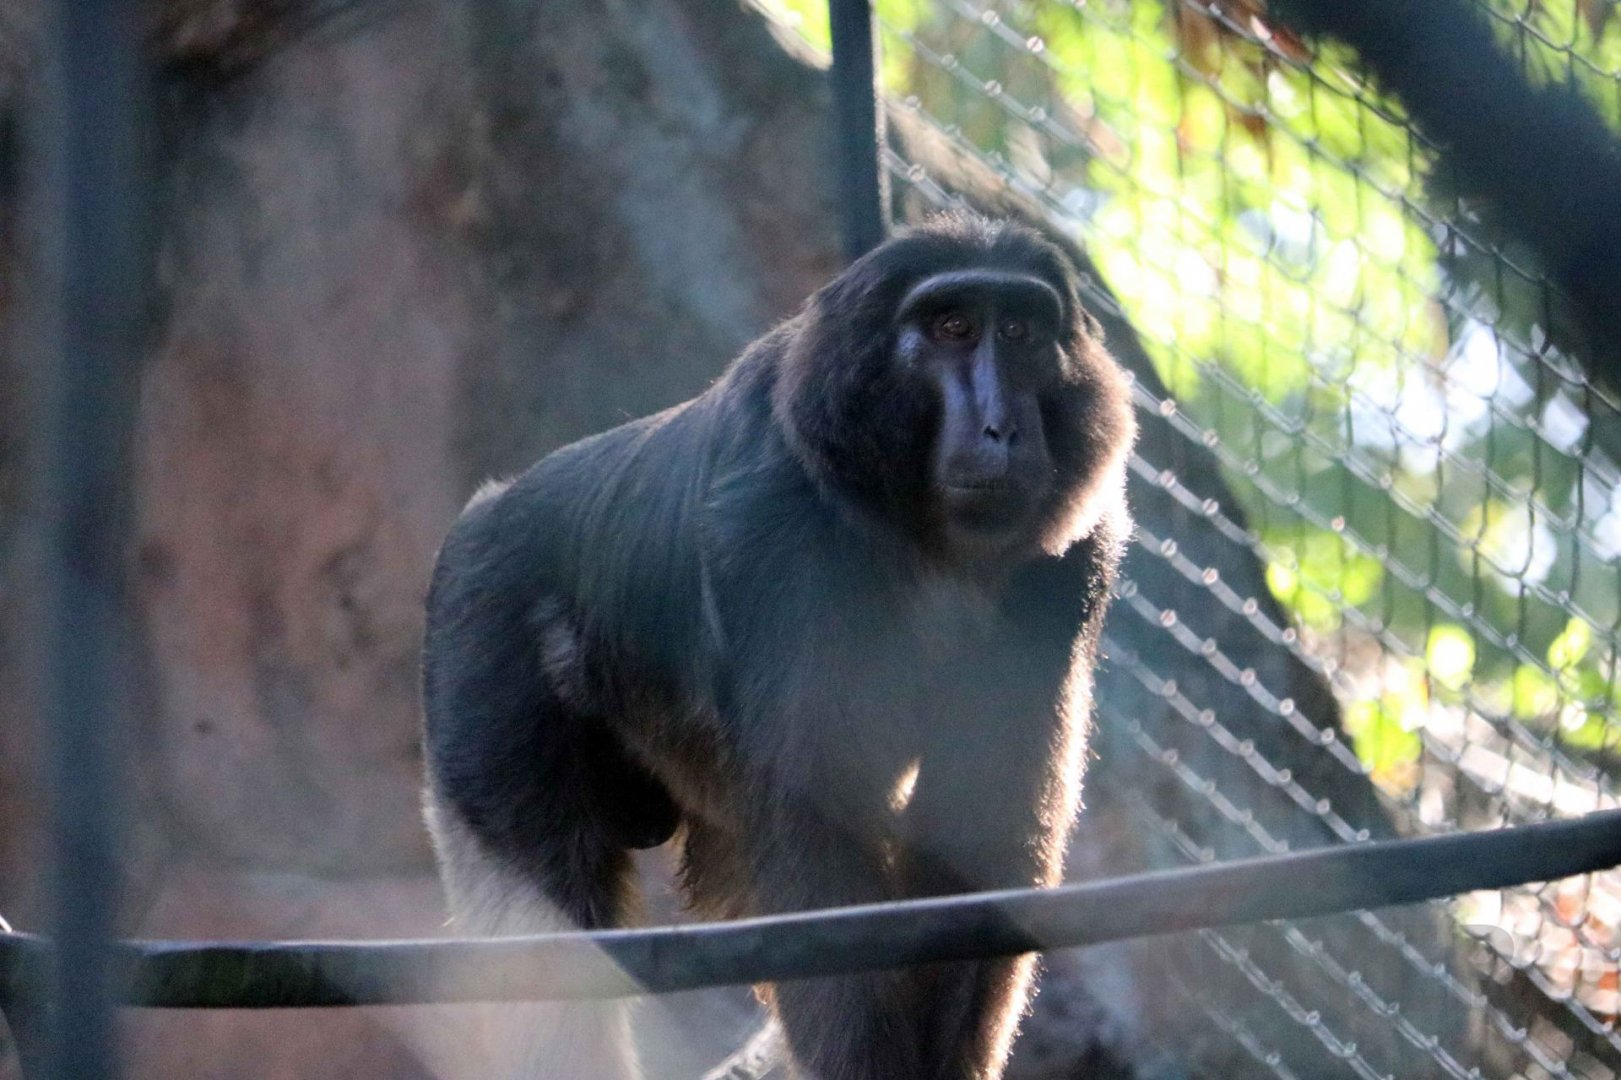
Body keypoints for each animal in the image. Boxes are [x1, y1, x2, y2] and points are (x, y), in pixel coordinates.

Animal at [421, 213, 1136, 1080]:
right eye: (952, 329)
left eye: (1021, 333)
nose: (1001, 426)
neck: (915, 534)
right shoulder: (775, 526)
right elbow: (815, 852)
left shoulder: (1071, 557)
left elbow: (979, 842)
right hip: (479, 640)